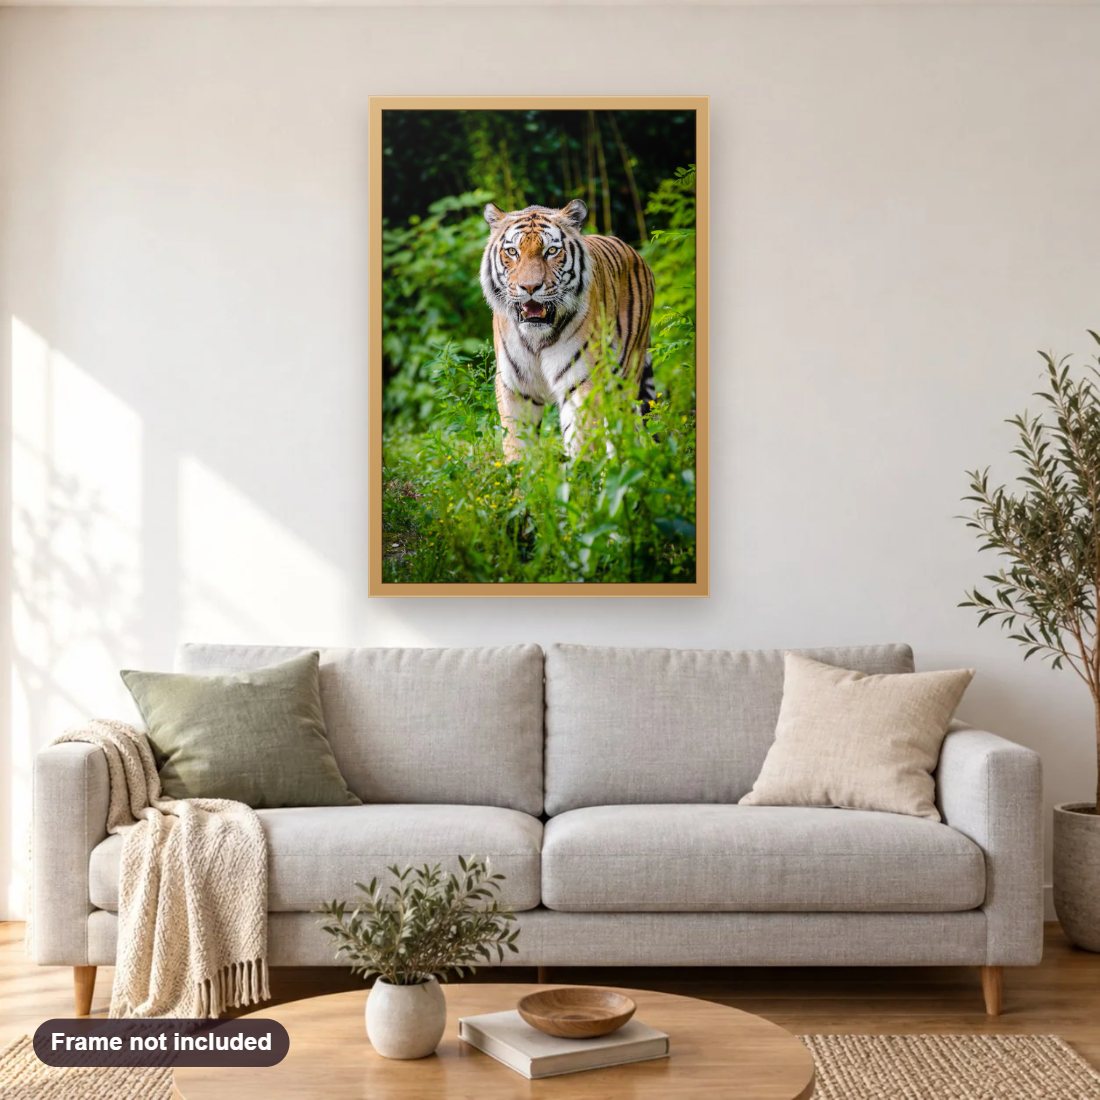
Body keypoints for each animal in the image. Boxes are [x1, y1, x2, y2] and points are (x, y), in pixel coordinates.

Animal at [479, 197, 656, 461]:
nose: (529, 287)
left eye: (551, 251)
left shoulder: (581, 383)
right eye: (512, 252)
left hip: (625, 377)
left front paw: (581, 471)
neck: (536, 338)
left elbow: (582, 440)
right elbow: (516, 444)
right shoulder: (515, 387)